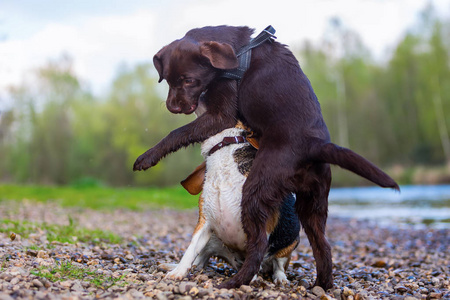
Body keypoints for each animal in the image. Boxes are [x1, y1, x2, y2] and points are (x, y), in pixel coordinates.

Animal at [133, 26, 398, 290]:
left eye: (189, 80)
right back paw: (320, 285)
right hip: (312, 204)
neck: (239, 51)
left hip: (256, 191)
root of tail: (315, 145)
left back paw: (237, 281)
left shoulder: (222, 115)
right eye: (168, 80)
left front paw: (147, 157)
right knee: (323, 247)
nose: (172, 107)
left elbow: (178, 133)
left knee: (260, 244)